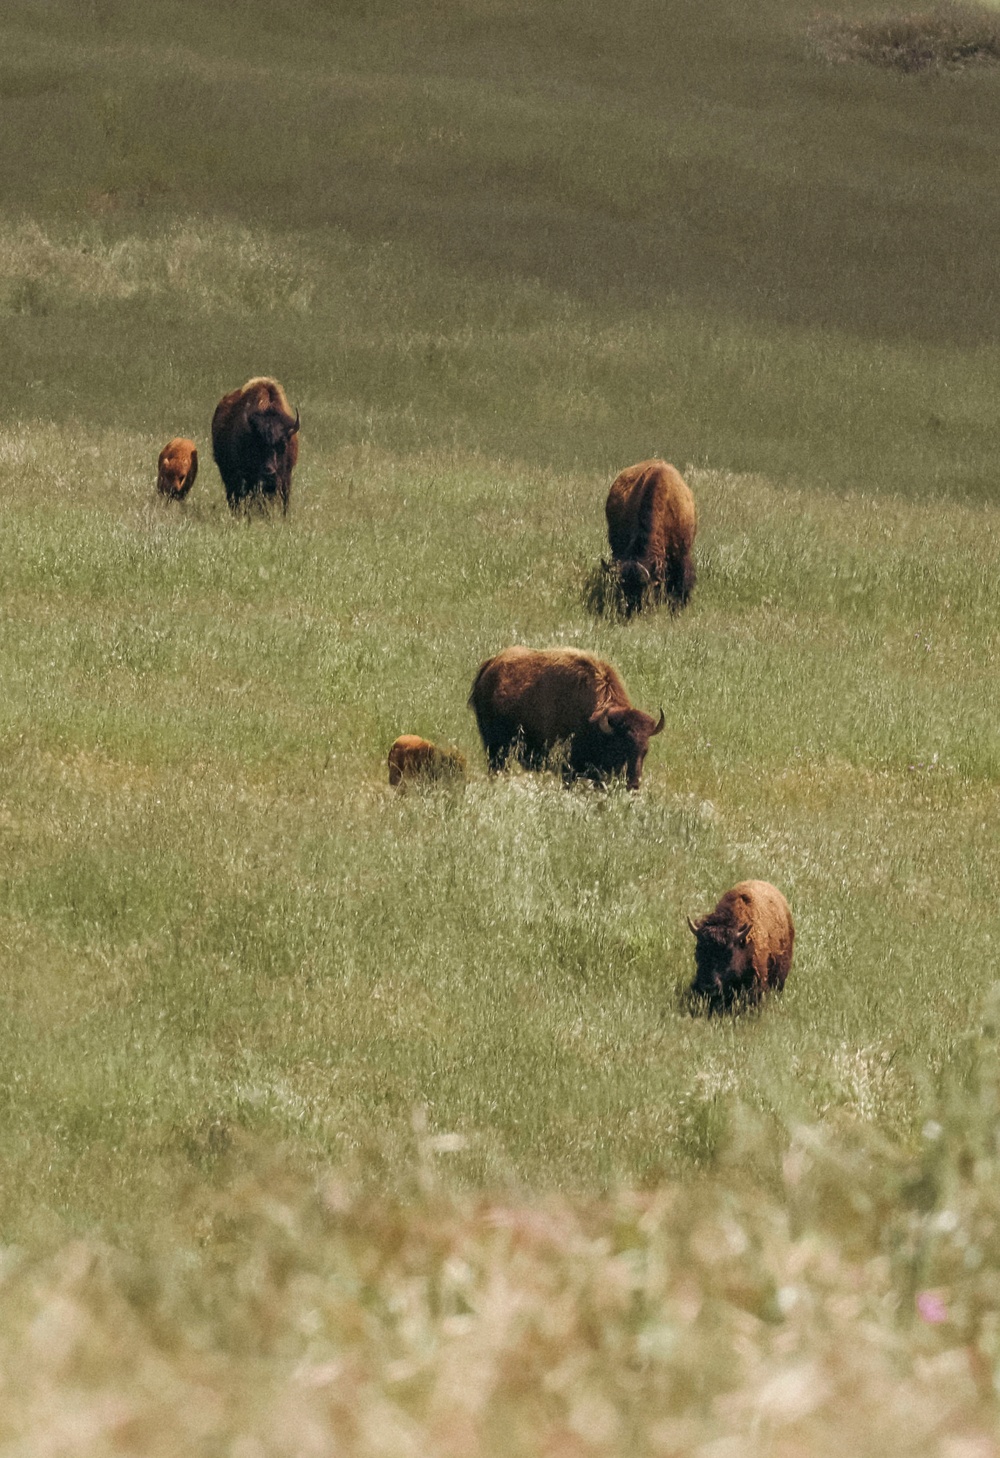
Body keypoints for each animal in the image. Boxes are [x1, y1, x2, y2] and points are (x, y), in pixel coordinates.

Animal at [469, 647, 664, 793]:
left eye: (645, 751)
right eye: (621, 749)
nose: (634, 785)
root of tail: (489, 666)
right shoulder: (569, 769)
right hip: (495, 747)